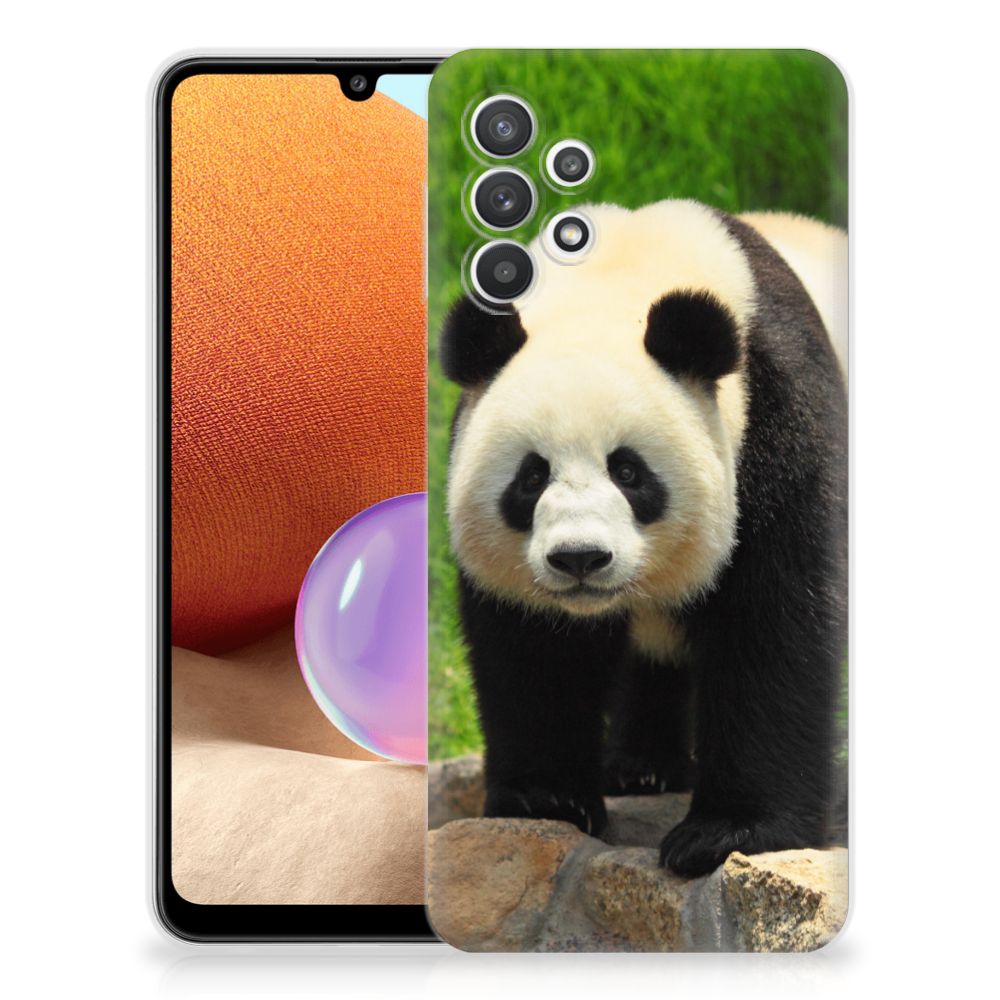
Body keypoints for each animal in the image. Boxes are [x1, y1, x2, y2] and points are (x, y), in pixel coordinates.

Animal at [439, 200, 848, 877]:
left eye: (628, 472)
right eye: (531, 476)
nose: (580, 558)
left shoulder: (779, 421)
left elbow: (773, 624)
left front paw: (727, 833)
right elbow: (534, 649)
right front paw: (547, 799)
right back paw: (641, 769)